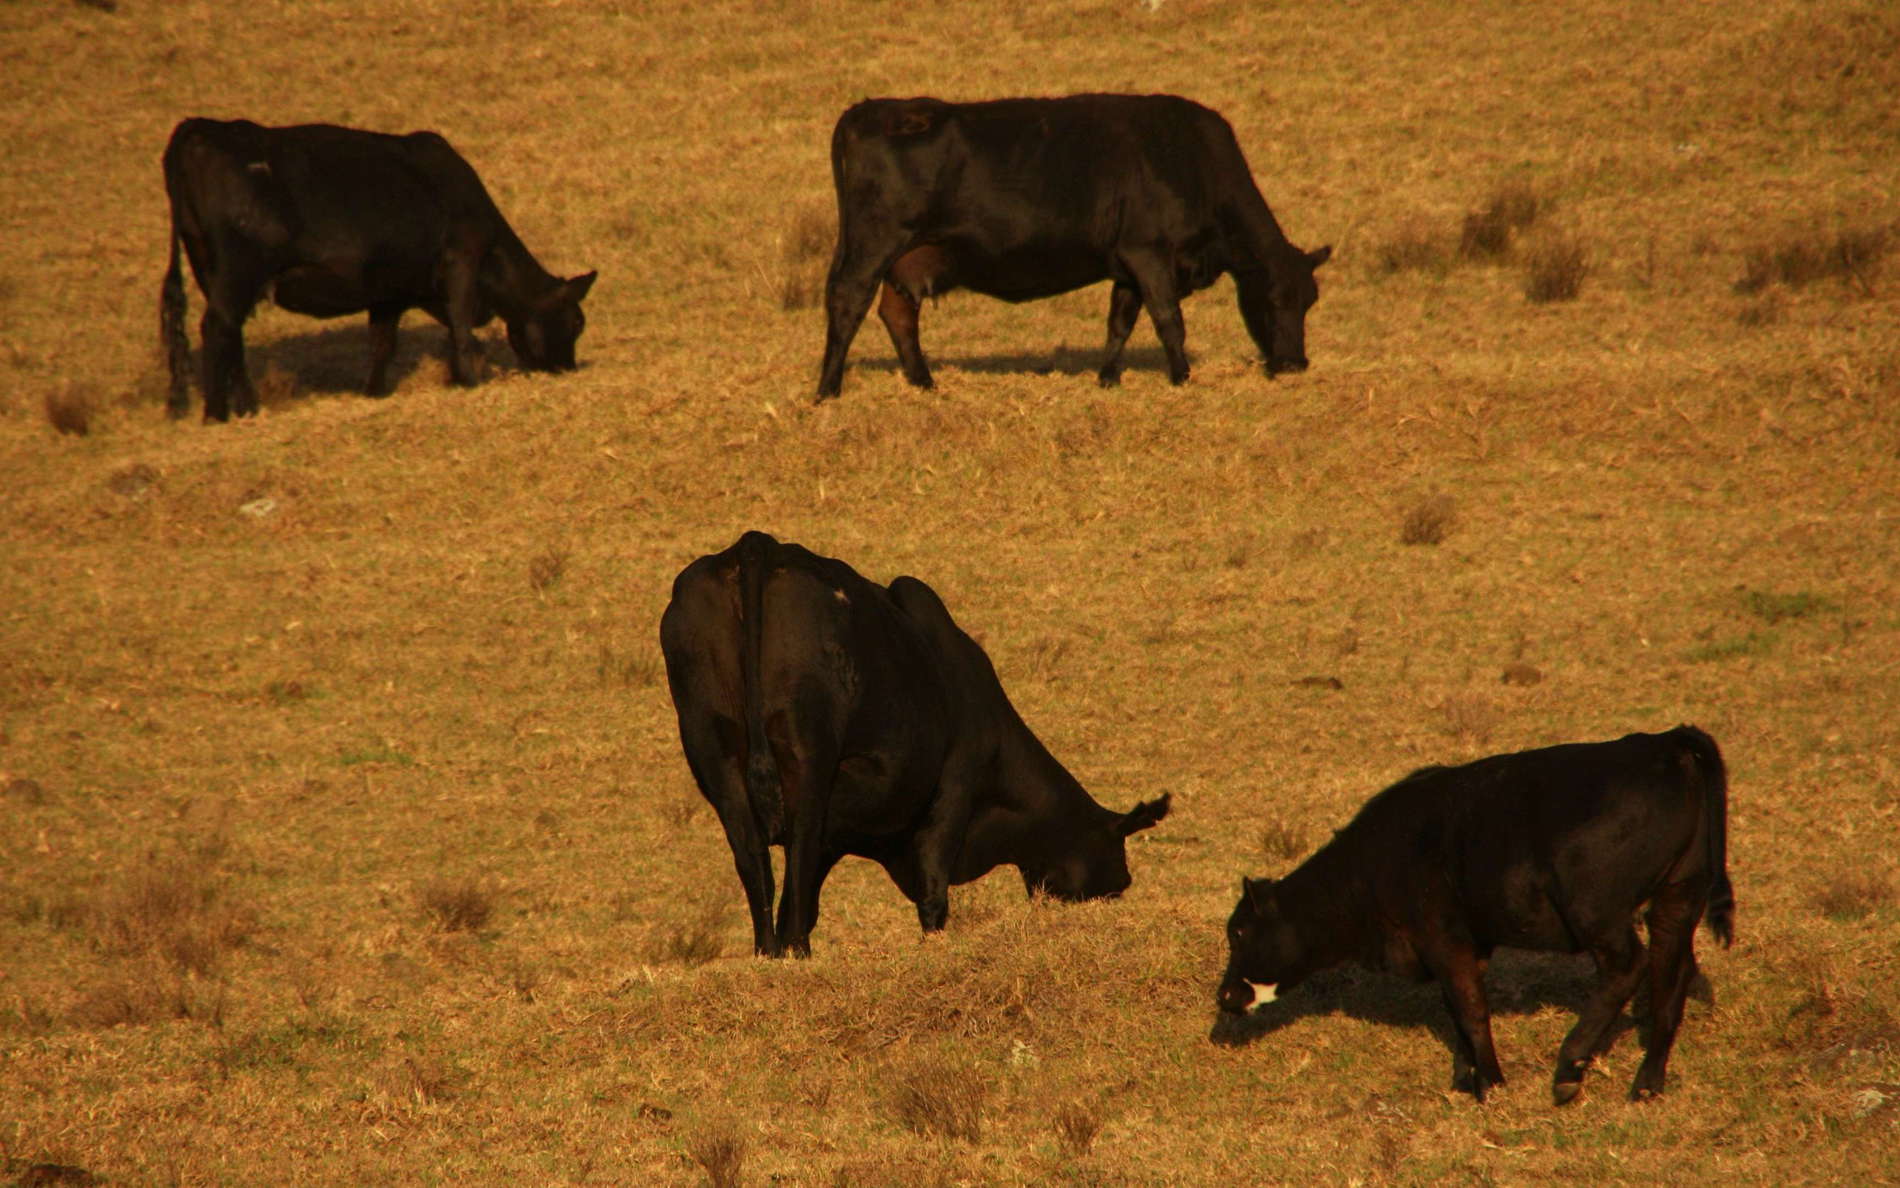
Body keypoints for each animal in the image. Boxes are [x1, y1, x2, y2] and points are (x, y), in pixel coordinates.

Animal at [161, 116, 592, 421]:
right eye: (575, 322)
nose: (568, 370)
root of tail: (199, 128)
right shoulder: (461, 262)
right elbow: (462, 329)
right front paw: (471, 380)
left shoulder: (390, 291)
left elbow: (383, 344)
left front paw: (375, 392)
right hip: (239, 266)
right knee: (218, 327)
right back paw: (217, 414)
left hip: (210, 267)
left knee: (230, 332)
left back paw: (248, 407)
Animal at [668, 528, 1170, 954]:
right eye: (1117, 877)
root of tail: (758, 544)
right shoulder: (954, 785)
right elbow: (932, 892)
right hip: (809, 752)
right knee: (799, 845)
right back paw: (794, 950)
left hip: (713, 748)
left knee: (753, 856)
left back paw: (768, 951)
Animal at [817, 92, 1337, 399]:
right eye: (1275, 298)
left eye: (1310, 301)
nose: (1295, 364)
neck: (1189, 158)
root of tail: (870, 109)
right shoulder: (1150, 253)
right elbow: (1169, 320)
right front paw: (1182, 377)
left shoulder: (1127, 263)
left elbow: (1120, 322)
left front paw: (1108, 379)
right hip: (874, 243)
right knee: (848, 301)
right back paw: (828, 388)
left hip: (907, 256)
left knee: (898, 314)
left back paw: (925, 383)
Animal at [1216, 722, 1740, 1102]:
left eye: (1238, 932)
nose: (1225, 995)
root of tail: (1664, 744)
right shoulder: (1468, 945)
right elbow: (1456, 1007)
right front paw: (1464, 1076)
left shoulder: (1442, 938)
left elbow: (1470, 1010)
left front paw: (1489, 1081)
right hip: (1677, 898)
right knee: (1670, 976)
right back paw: (1647, 1083)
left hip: (1597, 912)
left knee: (1629, 967)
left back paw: (1569, 1067)